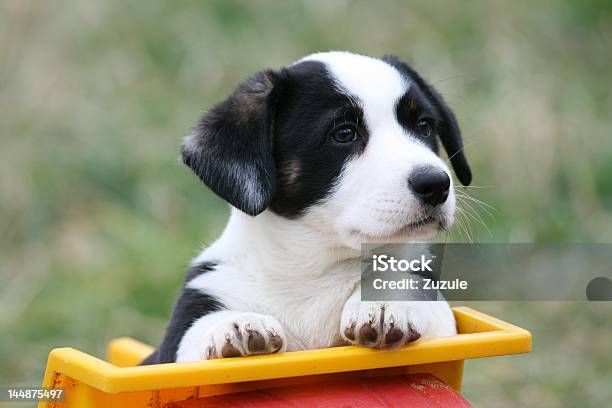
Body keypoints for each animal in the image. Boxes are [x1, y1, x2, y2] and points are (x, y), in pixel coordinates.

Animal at [143, 51, 474, 364]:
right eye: (344, 134)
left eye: (424, 126)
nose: (436, 184)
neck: (314, 269)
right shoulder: (180, 333)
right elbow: (199, 330)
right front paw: (237, 325)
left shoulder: (438, 311)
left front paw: (383, 303)